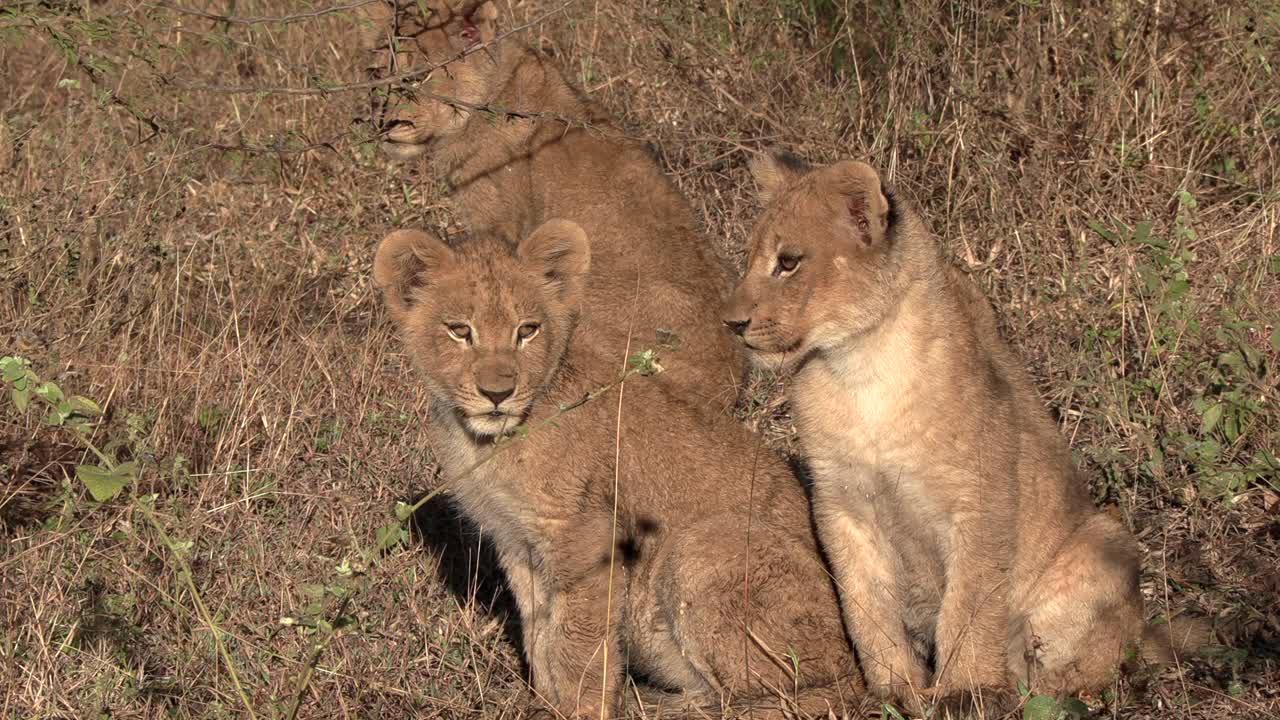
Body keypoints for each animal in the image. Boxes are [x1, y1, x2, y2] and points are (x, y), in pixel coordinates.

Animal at [373, 218, 868, 719]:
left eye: (527, 330)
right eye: (459, 330)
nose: (497, 393)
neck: (484, 444)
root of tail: (861, 665)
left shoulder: (587, 537)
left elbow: (575, 643)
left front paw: (581, 709)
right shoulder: (516, 541)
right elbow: (539, 634)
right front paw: (544, 702)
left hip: (707, 546)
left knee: (804, 696)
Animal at [721, 152, 1207, 711]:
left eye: (789, 262)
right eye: (751, 258)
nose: (731, 323)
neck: (860, 369)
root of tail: (1146, 631)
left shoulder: (982, 497)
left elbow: (969, 604)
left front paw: (964, 692)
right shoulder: (841, 503)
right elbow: (865, 606)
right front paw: (892, 691)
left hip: (1104, 540)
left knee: (1080, 675)